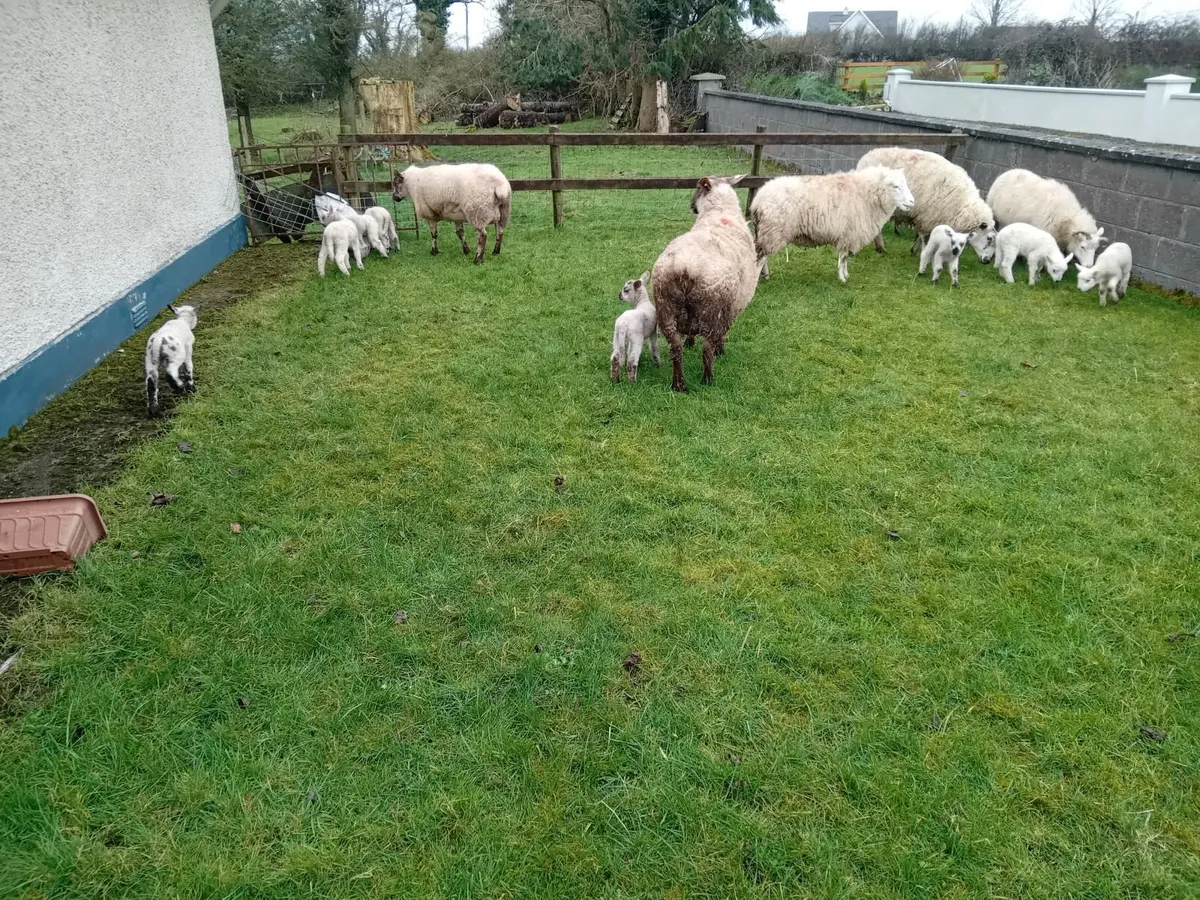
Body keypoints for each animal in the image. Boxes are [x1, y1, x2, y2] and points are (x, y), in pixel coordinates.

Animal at [652, 175, 759, 393]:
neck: (720, 212)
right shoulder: (731, 310)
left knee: (676, 347)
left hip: (665, 307)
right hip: (712, 310)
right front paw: (721, 349)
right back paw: (708, 379)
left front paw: (690, 341)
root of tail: (685, 265)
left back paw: (678, 385)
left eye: (697, 188)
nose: (691, 205)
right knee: (707, 348)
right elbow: (720, 337)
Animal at [751, 167, 915, 283]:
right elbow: (843, 257)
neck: (866, 194)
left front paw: (846, 274)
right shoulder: (848, 233)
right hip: (773, 232)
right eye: (895, 186)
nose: (912, 202)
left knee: (761, 256)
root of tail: (758, 200)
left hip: (766, 232)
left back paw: (765, 276)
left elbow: (845, 258)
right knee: (760, 258)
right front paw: (842, 278)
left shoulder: (847, 235)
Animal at [856, 147, 996, 262]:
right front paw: (924, 255)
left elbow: (920, 237)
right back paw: (879, 247)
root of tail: (866, 156)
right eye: (989, 239)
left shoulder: (927, 219)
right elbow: (926, 239)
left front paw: (914, 251)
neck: (961, 205)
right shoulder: (928, 218)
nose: (988, 261)